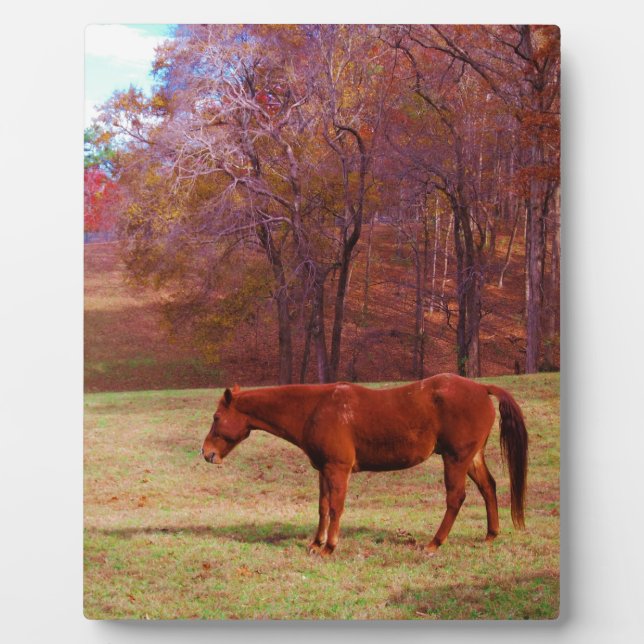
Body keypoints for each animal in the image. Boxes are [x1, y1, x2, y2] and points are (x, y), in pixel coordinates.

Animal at [201, 373, 528, 556]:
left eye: (216, 418)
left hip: (455, 459)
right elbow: (322, 507)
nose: (206, 453)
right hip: (471, 458)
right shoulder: (323, 470)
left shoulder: (338, 469)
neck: (315, 409)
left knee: (455, 498)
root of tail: (481, 388)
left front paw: (329, 547)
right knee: (489, 488)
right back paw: (490, 534)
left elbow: (336, 508)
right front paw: (315, 543)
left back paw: (435, 543)